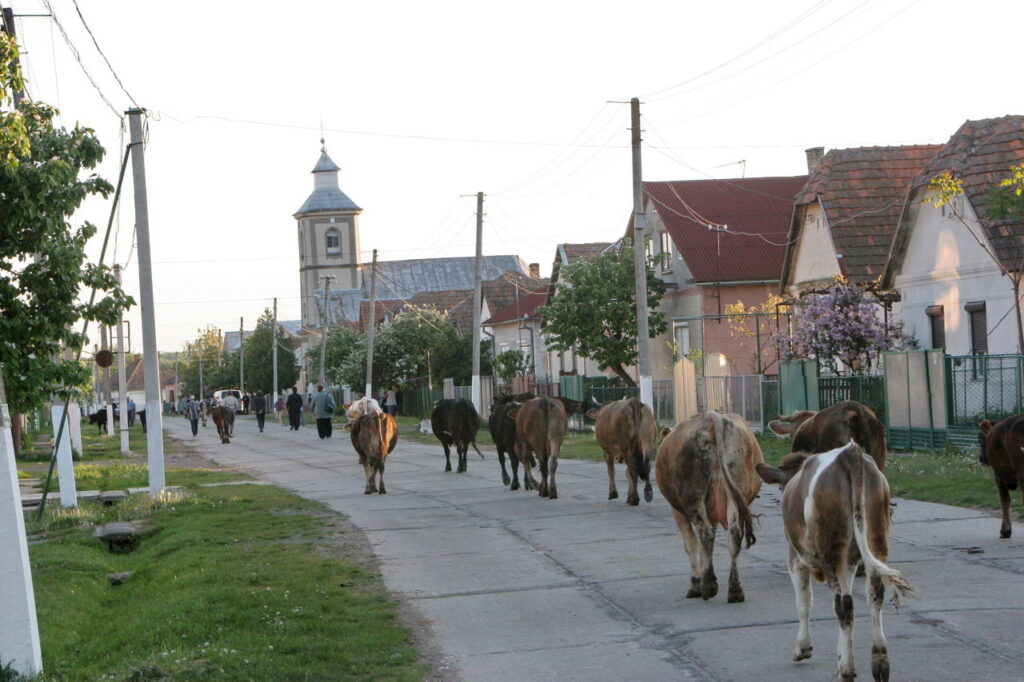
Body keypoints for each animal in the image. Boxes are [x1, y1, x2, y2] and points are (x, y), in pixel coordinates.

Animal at [655, 409, 761, 602]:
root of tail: (713, 418)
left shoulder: (678, 512)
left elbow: (690, 544)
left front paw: (695, 584)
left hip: (692, 496)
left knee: (705, 534)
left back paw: (709, 585)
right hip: (736, 489)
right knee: (734, 534)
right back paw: (735, 590)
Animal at [757, 440, 917, 679]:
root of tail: (851, 453)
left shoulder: (795, 558)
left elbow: (804, 603)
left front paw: (803, 648)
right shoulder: (848, 562)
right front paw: (840, 655)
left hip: (831, 550)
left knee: (844, 606)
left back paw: (847, 671)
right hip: (875, 537)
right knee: (874, 595)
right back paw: (879, 663)